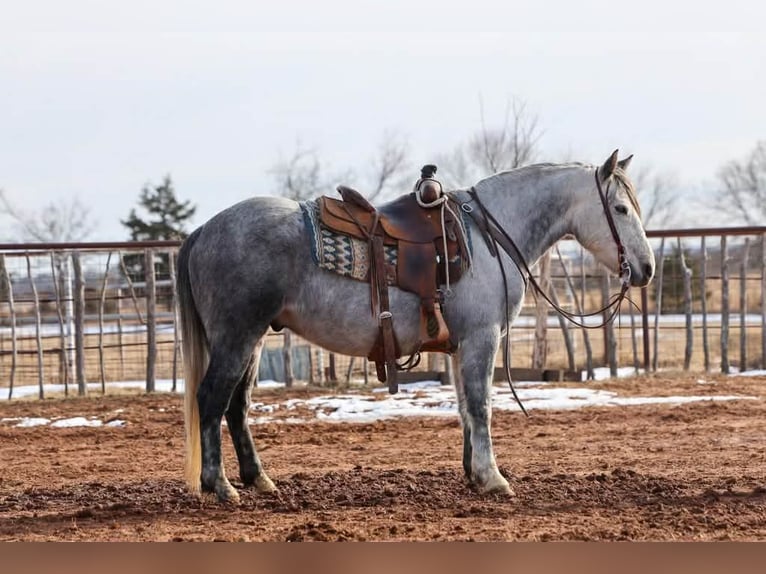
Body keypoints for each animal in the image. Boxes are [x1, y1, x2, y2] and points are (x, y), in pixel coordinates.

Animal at [177, 150, 655, 502]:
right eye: (619, 208)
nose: (647, 268)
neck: (489, 236)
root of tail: (203, 230)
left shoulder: (463, 345)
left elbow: (465, 407)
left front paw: (473, 475)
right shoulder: (482, 338)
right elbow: (481, 405)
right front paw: (493, 478)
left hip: (254, 339)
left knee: (237, 407)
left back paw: (258, 480)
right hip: (236, 337)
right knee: (212, 399)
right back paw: (220, 486)